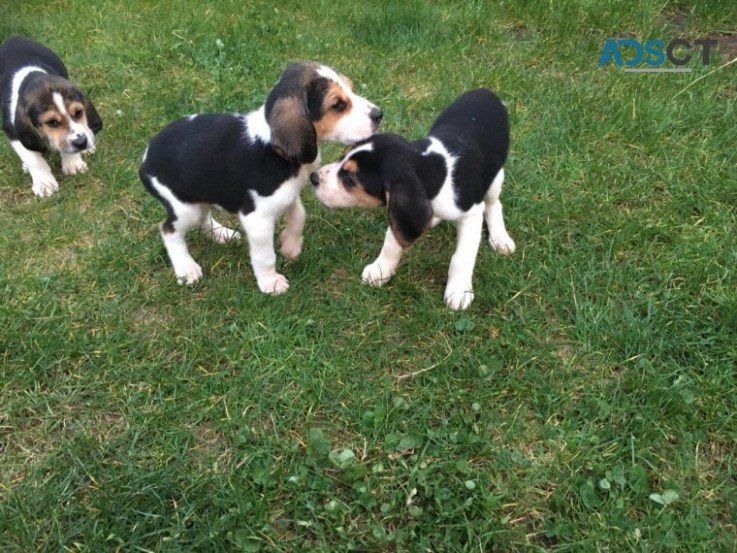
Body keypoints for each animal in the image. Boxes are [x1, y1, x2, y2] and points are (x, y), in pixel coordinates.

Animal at [0, 35, 103, 197]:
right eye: (52, 122)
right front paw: (44, 183)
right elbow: (32, 158)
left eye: (78, 113)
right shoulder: (13, 132)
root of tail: (14, 37)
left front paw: (73, 162)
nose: (81, 143)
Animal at [138, 60, 382, 294]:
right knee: (168, 230)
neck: (272, 147)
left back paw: (221, 234)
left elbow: (299, 215)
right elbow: (265, 256)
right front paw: (270, 283)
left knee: (203, 217)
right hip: (184, 206)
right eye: (337, 105)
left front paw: (291, 245)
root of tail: (146, 157)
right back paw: (186, 268)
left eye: (351, 89)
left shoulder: (289, 193)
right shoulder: (257, 219)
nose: (379, 114)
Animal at [314, 88, 516, 308]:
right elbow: (391, 243)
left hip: (495, 177)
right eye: (341, 157)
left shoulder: (471, 215)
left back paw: (500, 238)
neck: (435, 170)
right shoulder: (398, 211)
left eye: (350, 178)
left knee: (494, 205)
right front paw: (381, 269)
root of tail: (485, 91)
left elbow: (461, 257)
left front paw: (459, 290)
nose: (313, 178)